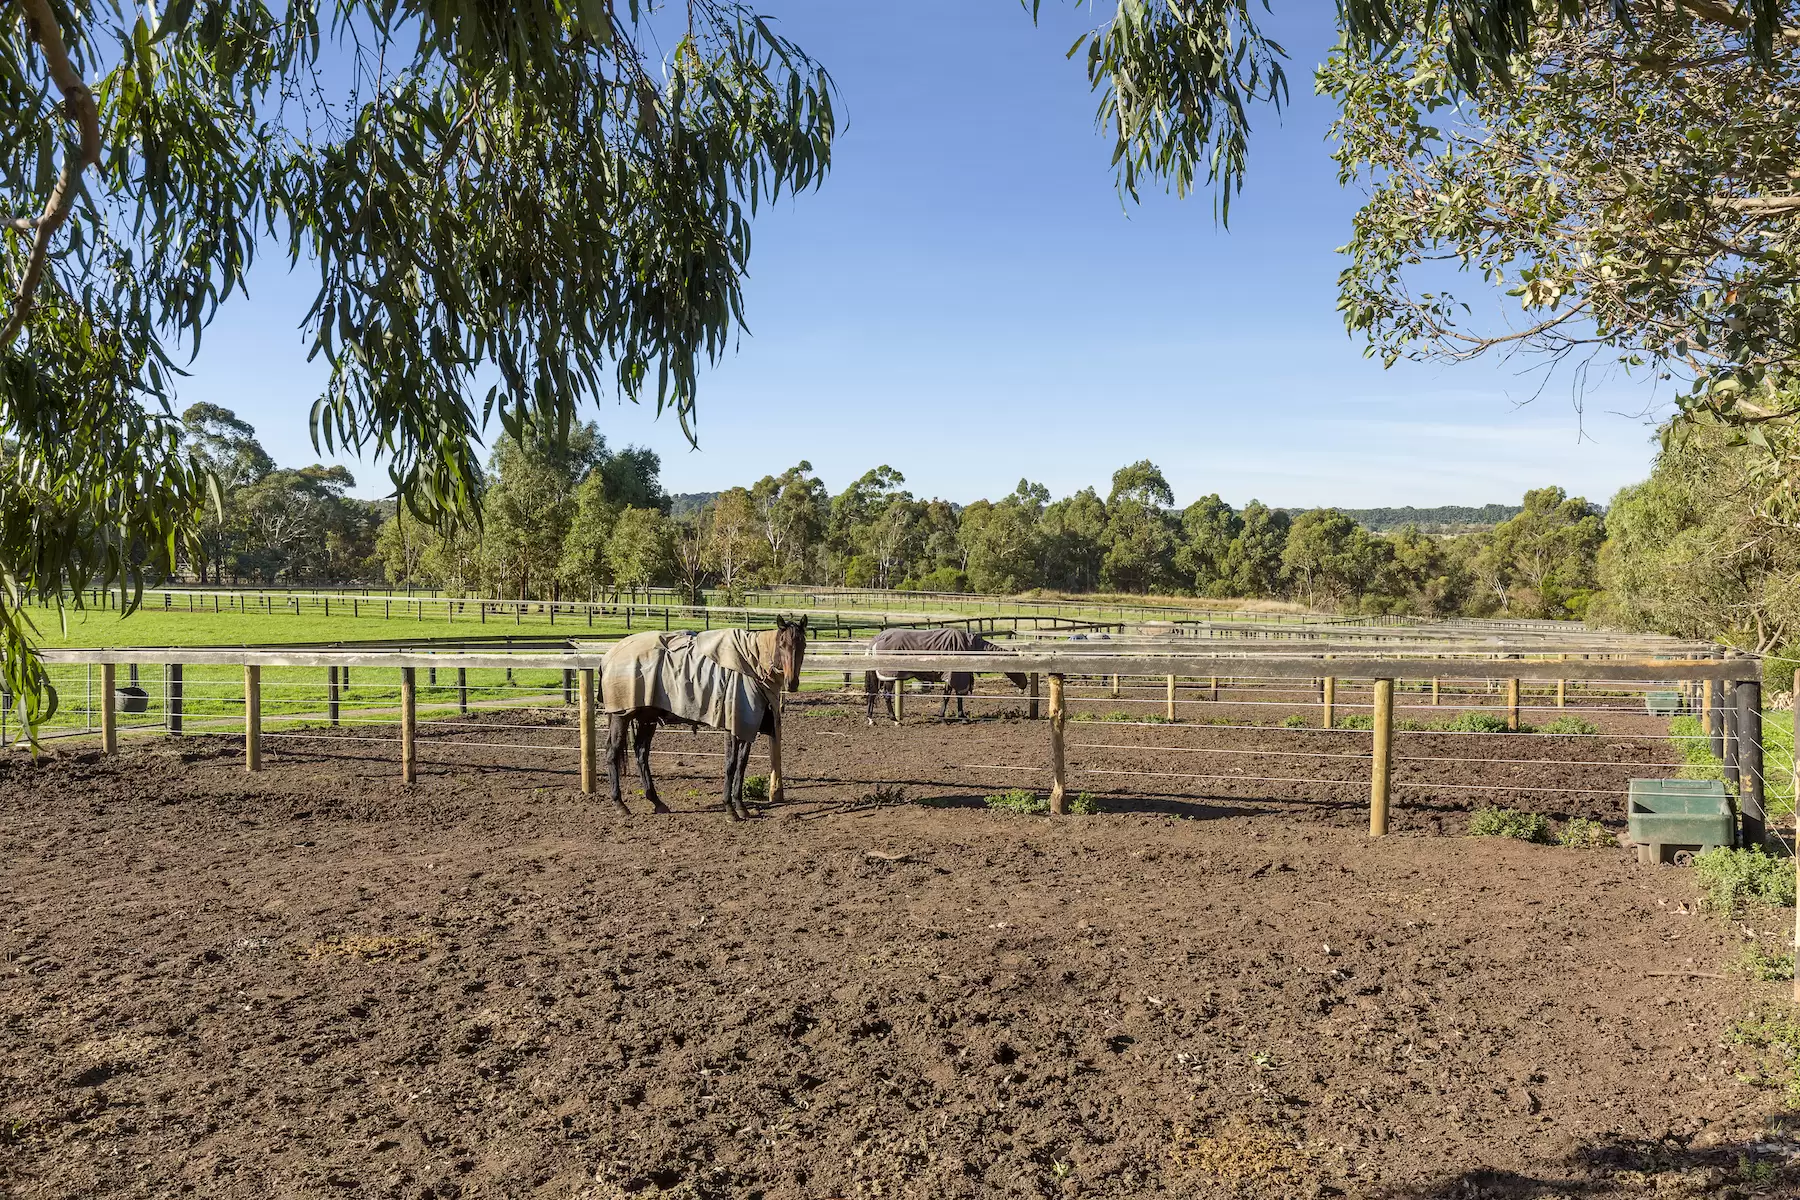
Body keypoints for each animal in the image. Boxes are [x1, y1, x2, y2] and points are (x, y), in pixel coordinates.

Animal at [601, 615, 806, 820]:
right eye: (782, 644)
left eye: (803, 644)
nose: (792, 683)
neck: (751, 665)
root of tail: (608, 657)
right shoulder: (732, 726)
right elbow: (731, 763)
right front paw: (729, 809)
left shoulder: (748, 728)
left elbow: (742, 764)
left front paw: (741, 806)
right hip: (621, 717)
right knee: (612, 753)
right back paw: (620, 804)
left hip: (647, 719)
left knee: (641, 752)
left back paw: (657, 802)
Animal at [860, 626, 1029, 726]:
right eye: (1019, 667)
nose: (1024, 685)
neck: (970, 647)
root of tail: (876, 640)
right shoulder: (954, 675)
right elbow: (950, 696)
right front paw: (949, 717)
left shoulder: (956, 677)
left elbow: (954, 696)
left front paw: (956, 716)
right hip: (889, 676)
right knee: (886, 695)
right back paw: (895, 720)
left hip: (881, 676)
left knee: (873, 694)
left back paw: (871, 719)